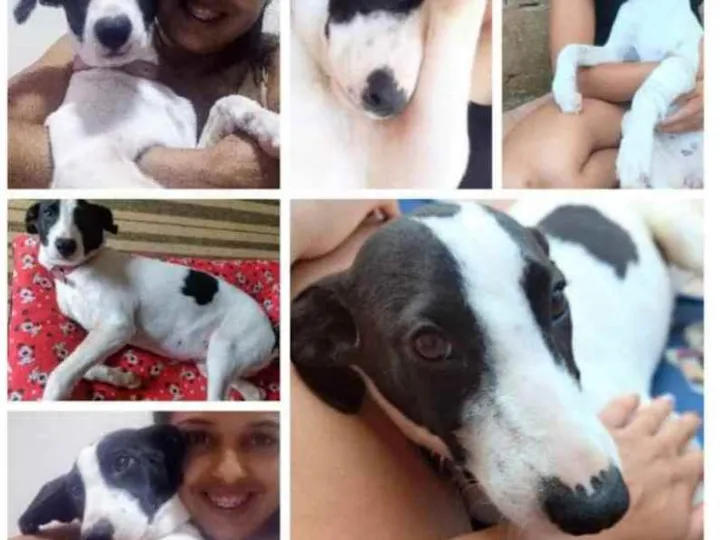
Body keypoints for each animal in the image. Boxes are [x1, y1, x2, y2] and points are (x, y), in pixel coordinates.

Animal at [14, 0, 279, 189]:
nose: (113, 30)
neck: (130, 74)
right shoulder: (88, 163)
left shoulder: (191, 148)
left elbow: (227, 102)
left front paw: (273, 126)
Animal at [25, 200, 276, 401]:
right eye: (48, 213)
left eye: (84, 218)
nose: (65, 245)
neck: (75, 273)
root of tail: (273, 334)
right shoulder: (101, 334)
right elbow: (82, 365)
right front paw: (121, 377)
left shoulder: (117, 326)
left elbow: (62, 371)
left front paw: (52, 396)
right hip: (211, 360)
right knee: (232, 379)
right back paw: (253, 391)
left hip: (224, 349)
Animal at [552, 0, 703, 189]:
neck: (651, 6)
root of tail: (692, 176)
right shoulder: (615, 53)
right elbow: (571, 48)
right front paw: (564, 92)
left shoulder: (684, 61)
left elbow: (647, 90)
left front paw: (632, 157)